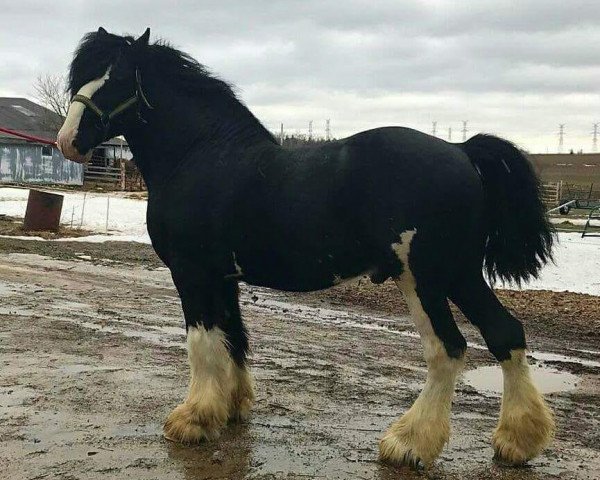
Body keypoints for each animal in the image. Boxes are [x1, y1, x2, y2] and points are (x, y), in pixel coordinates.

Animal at [58, 28, 556, 466]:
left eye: (120, 77)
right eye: (82, 75)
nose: (68, 141)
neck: (201, 155)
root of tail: (462, 150)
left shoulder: (191, 271)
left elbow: (201, 341)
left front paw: (193, 419)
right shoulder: (223, 276)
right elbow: (233, 336)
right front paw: (232, 407)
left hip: (424, 277)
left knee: (447, 349)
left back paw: (408, 443)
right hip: (461, 274)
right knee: (505, 333)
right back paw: (517, 441)